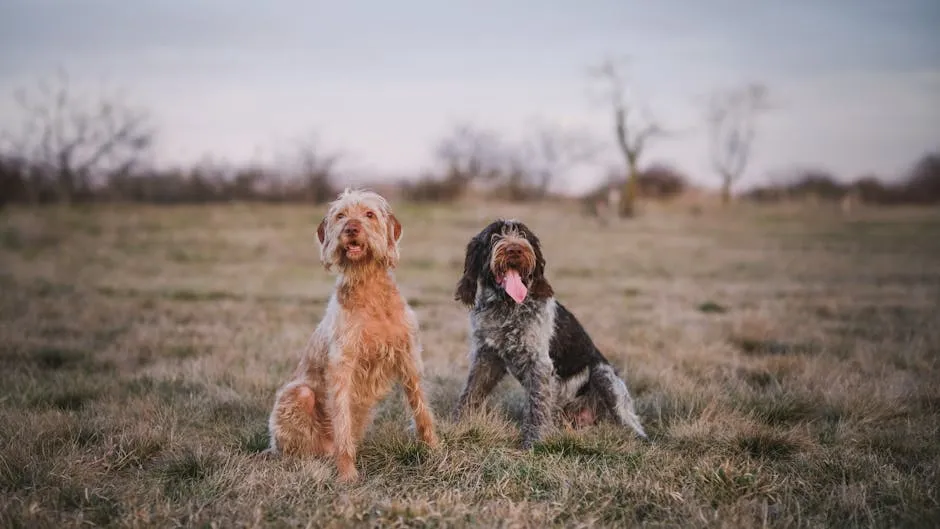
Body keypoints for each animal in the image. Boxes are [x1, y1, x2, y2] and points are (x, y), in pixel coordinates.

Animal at [266, 188, 438, 480]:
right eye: (341, 215)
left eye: (369, 214)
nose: (351, 229)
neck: (368, 288)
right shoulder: (342, 366)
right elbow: (342, 423)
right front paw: (347, 473)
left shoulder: (407, 356)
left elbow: (421, 407)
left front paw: (435, 449)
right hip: (298, 395)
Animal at [450, 218, 648, 446]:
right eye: (494, 236)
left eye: (524, 235)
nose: (515, 249)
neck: (507, 307)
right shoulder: (487, 357)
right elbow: (470, 393)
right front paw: (456, 426)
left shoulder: (539, 363)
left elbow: (538, 406)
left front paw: (534, 442)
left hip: (603, 375)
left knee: (632, 424)